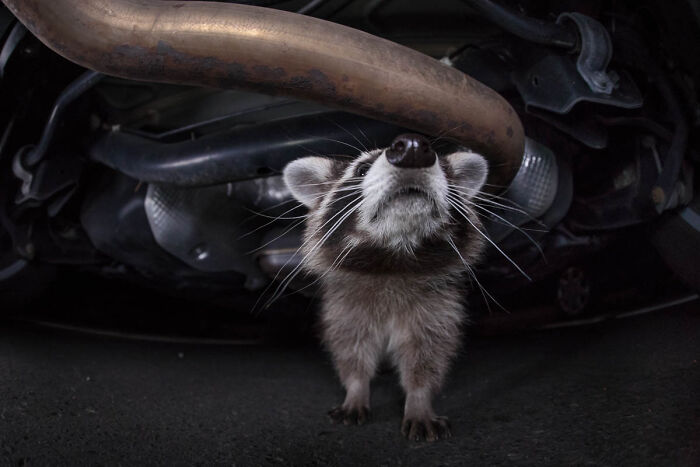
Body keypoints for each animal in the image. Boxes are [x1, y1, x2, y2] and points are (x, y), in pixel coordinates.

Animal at [282, 133, 488, 442]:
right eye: (361, 170)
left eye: (443, 167)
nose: (413, 148)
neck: (394, 259)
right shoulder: (346, 306)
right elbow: (350, 349)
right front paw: (356, 389)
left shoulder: (438, 307)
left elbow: (428, 355)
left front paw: (419, 399)